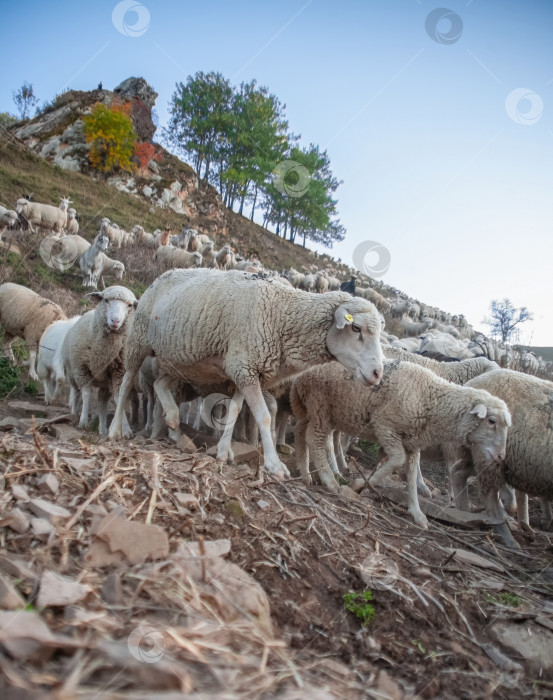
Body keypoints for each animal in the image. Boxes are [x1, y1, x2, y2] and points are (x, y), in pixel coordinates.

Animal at [62, 284, 138, 432]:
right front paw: (83, 421)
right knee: (76, 393)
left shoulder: (119, 373)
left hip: (105, 383)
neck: (104, 352)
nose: (115, 320)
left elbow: (119, 398)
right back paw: (74, 413)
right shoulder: (82, 370)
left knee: (102, 402)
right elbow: (86, 394)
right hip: (71, 374)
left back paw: (102, 429)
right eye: (106, 300)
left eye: (129, 305)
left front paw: (125, 429)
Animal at [108, 268, 384, 482]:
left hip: (180, 361)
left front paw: (223, 452)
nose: (377, 373)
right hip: (139, 339)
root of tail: (164, 273)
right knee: (127, 382)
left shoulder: (245, 370)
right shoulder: (245, 367)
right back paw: (116, 430)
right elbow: (263, 417)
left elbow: (235, 409)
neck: (282, 316)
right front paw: (274, 465)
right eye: (356, 328)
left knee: (159, 384)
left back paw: (174, 421)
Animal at [292, 358, 512, 528]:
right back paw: (329, 480)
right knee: (315, 440)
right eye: (492, 421)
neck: (432, 400)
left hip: (313, 407)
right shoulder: (385, 426)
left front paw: (417, 512)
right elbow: (397, 460)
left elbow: (412, 475)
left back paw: (305, 473)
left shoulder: (412, 443)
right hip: (320, 406)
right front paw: (359, 484)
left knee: (301, 433)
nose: (501, 456)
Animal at [450, 370, 552, 544]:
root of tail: (472, 384)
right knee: (490, 497)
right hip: (489, 457)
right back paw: (507, 537)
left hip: (477, 453)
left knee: (458, 473)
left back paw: (463, 513)